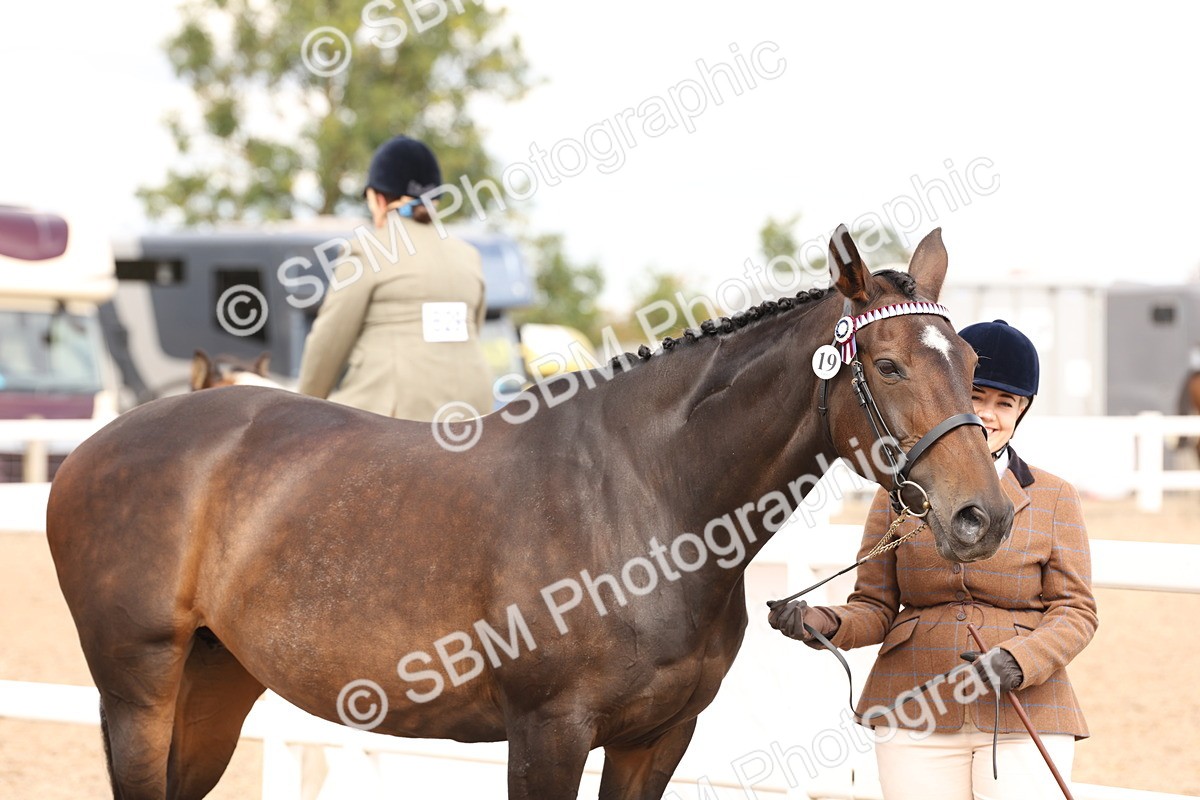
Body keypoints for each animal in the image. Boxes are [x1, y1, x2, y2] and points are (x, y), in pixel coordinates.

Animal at [46, 225, 1014, 800]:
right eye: (887, 364)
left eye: (970, 362)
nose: (983, 517)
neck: (645, 497)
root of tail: (95, 450)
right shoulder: (547, 734)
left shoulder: (656, 739)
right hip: (138, 691)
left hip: (215, 686)